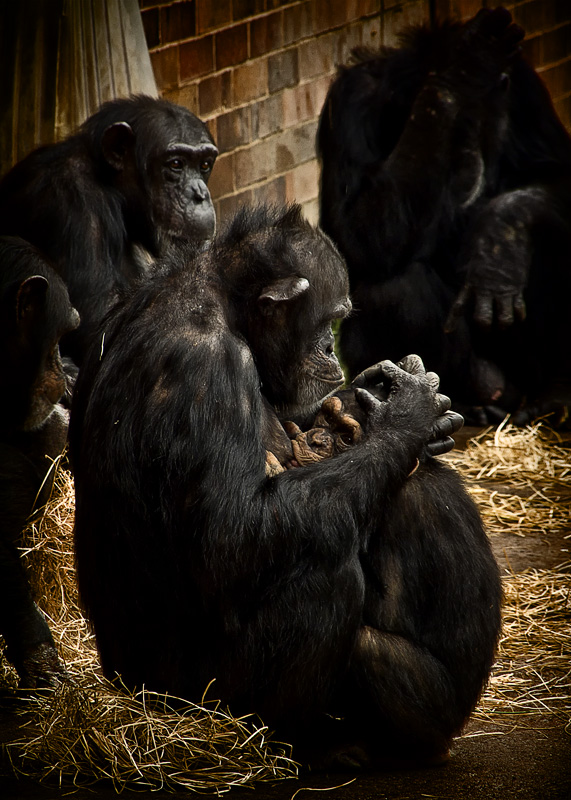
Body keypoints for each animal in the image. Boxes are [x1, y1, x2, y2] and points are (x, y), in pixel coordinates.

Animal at [0, 94, 219, 366]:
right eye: (176, 164)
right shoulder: (74, 202)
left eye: (205, 165)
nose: (199, 194)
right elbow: (98, 328)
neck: (108, 181)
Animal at [70, 205, 500, 768]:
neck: (226, 307)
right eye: (330, 318)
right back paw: (311, 744)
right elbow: (234, 534)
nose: (330, 349)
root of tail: (132, 694)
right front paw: (408, 419)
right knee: (321, 573)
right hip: (205, 700)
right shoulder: (205, 367)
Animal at [318, 6, 571, 424]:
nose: (465, 158)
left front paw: (498, 247)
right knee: (393, 286)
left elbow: (552, 168)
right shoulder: (350, 102)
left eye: (474, 121)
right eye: (448, 126)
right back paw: (468, 401)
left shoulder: (524, 84)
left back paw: (554, 394)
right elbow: (356, 232)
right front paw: (461, 70)